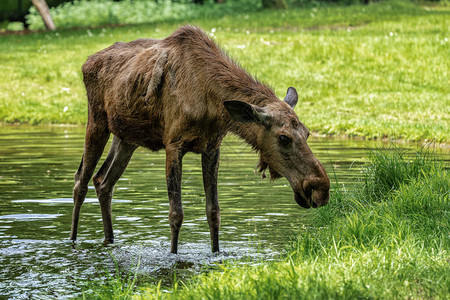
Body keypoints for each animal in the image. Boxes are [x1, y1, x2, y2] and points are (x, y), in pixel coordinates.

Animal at [70, 25, 330, 254]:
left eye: (307, 132)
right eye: (283, 137)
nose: (321, 188)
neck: (213, 105)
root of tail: (85, 62)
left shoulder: (212, 147)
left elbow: (213, 212)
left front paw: (215, 253)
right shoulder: (173, 143)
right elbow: (176, 214)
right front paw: (173, 255)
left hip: (126, 137)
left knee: (103, 181)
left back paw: (110, 240)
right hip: (97, 122)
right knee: (80, 181)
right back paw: (72, 242)